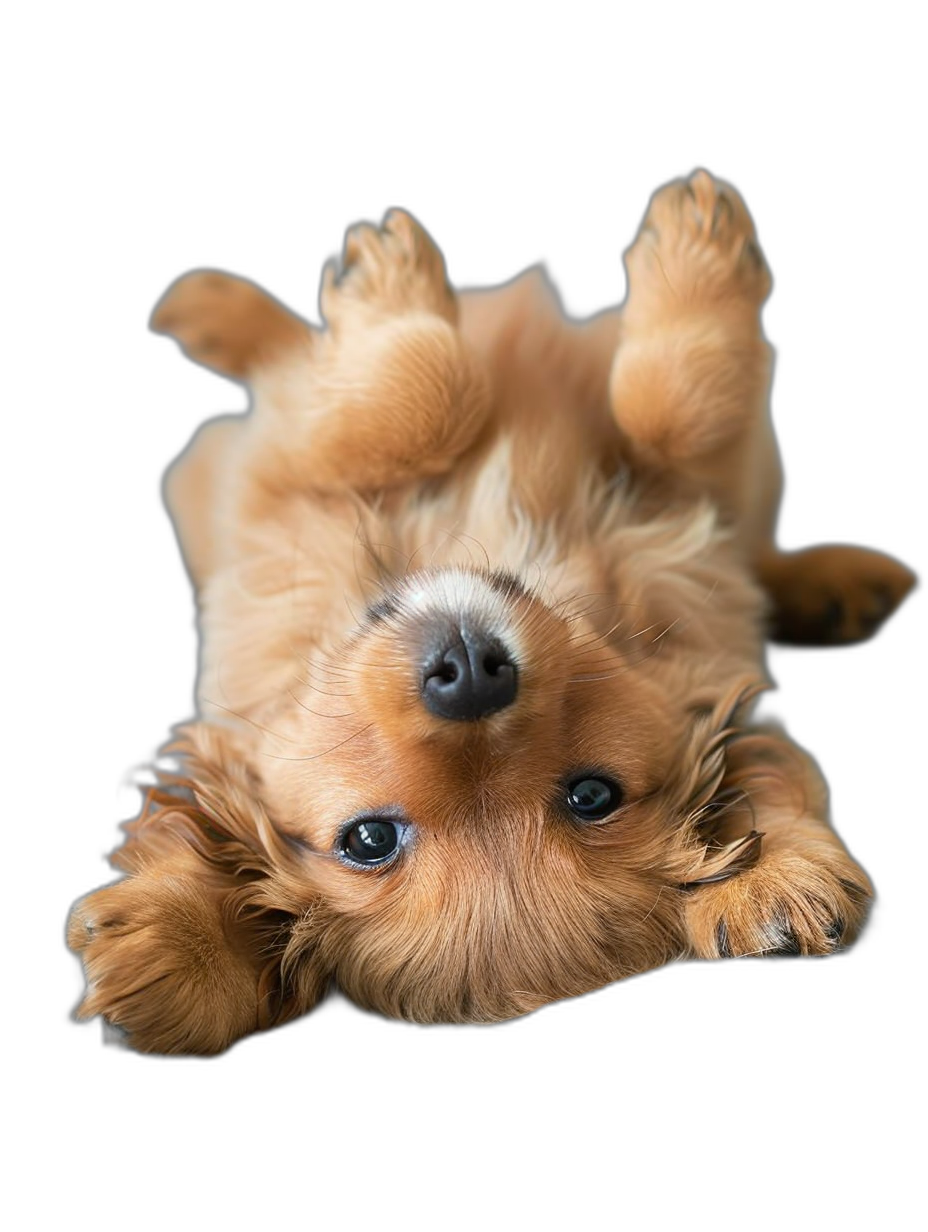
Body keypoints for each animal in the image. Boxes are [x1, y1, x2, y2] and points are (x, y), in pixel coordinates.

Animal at [65, 171, 911, 1059]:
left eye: (591, 796)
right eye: (369, 840)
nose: (467, 674)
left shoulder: (704, 500)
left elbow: (672, 410)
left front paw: (693, 247)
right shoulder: (273, 475)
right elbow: (431, 389)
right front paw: (386, 284)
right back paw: (210, 302)